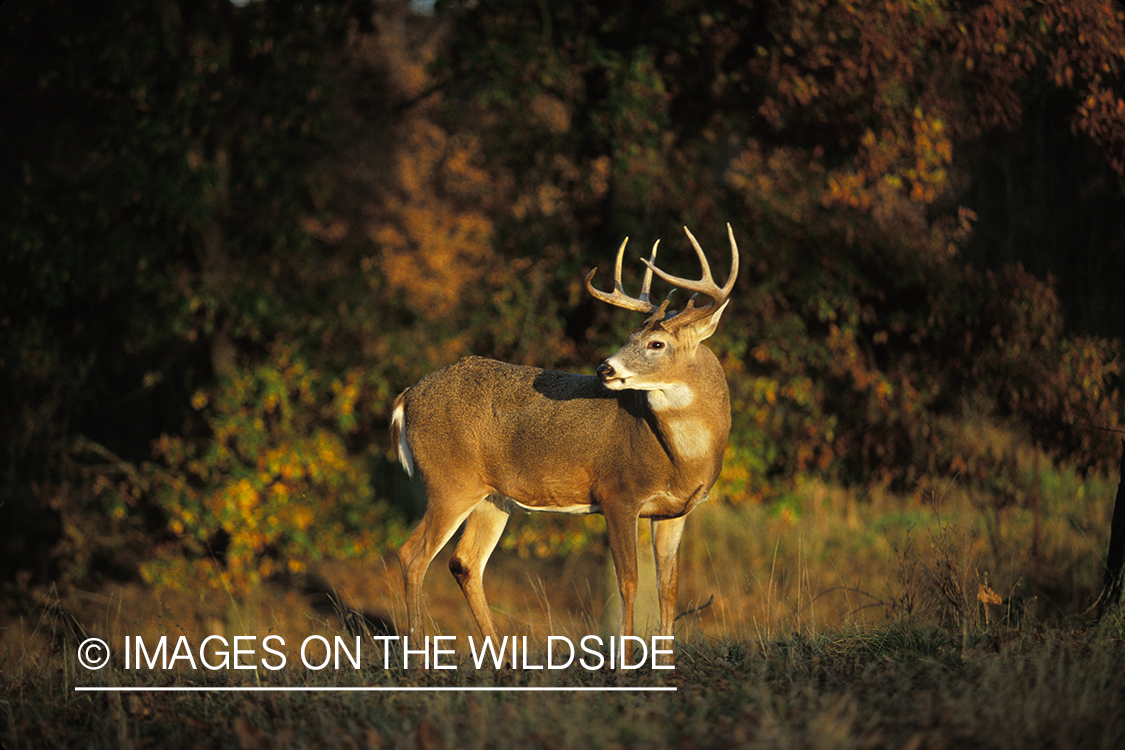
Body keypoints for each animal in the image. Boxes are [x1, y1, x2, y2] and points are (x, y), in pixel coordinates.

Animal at [390, 224, 738, 661]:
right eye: (629, 336)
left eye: (656, 344)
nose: (605, 368)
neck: (679, 457)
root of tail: (407, 397)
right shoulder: (617, 493)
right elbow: (628, 581)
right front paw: (625, 663)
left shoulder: (676, 510)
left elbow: (668, 587)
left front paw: (667, 663)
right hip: (449, 481)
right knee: (412, 555)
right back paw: (421, 659)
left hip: (492, 497)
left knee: (464, 562)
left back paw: (501, 659)